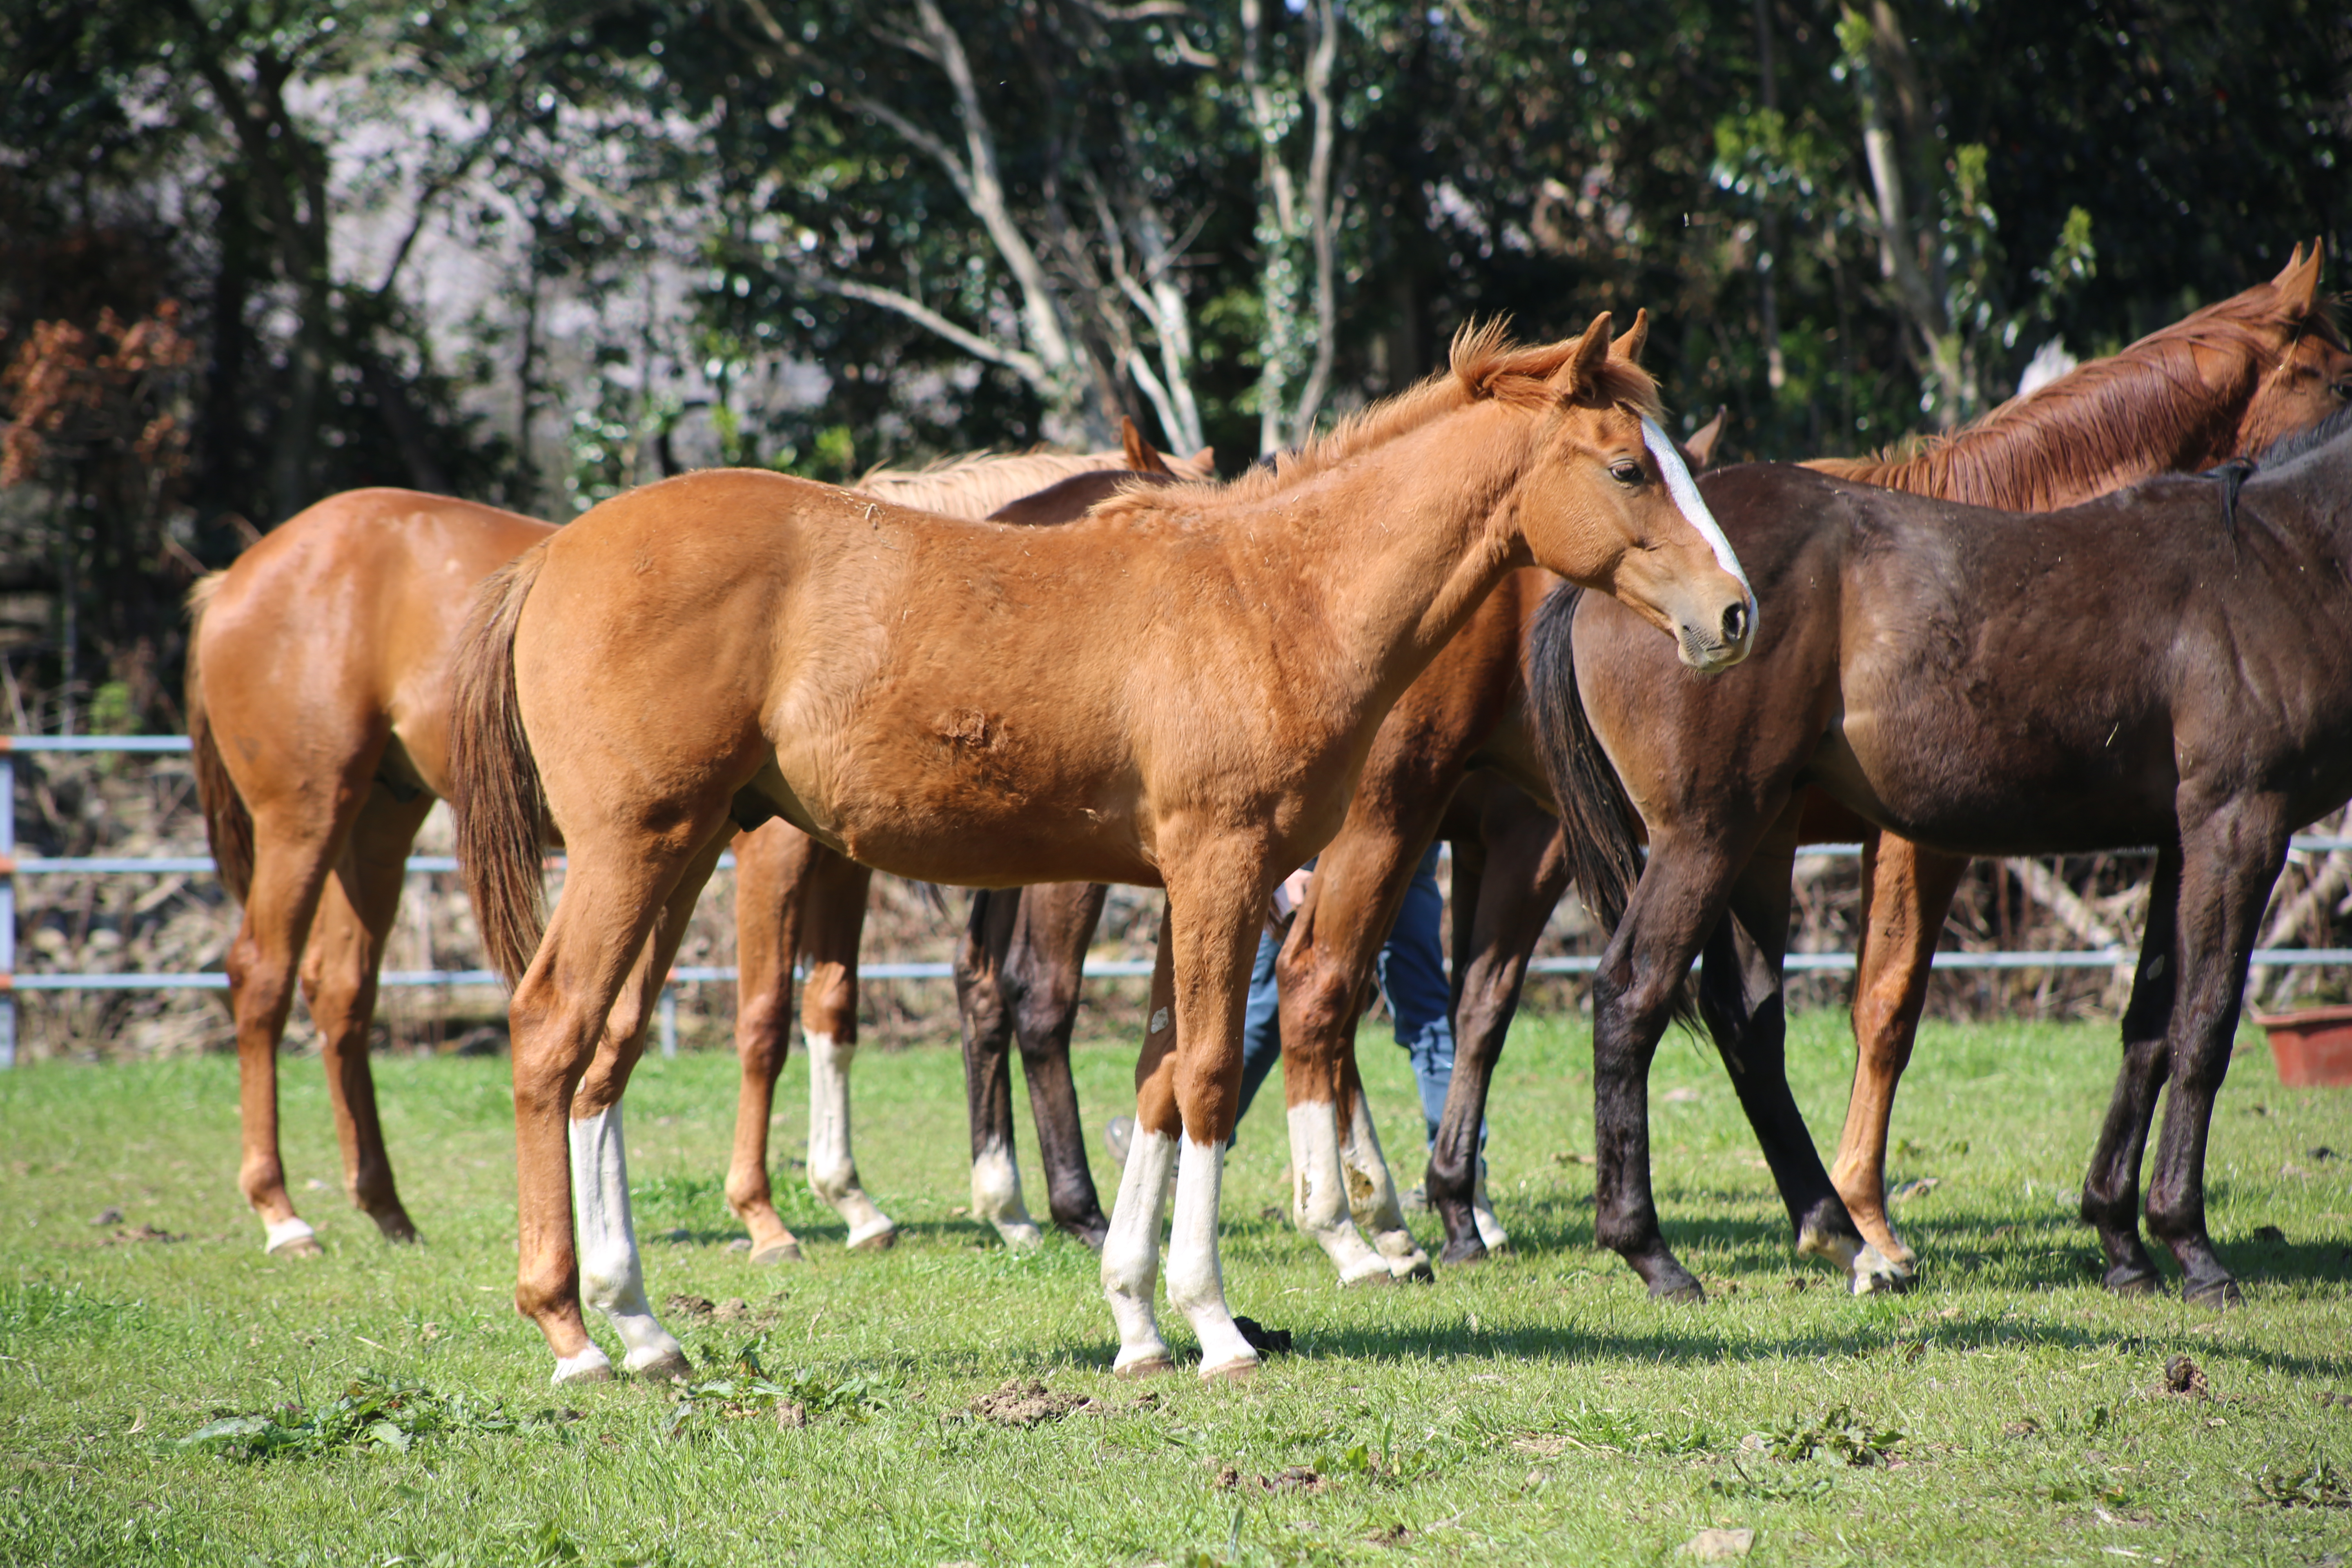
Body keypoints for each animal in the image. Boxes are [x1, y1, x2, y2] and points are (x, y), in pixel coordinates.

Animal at [449, 312, 1759, 1382]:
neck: (1274, 596)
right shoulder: (1225, 871)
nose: (1736, 614)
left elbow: (1160, 1083)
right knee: (552, 1031)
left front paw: (1135, 1319)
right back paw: (571, 1330)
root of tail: (554, 555)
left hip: (676, 859)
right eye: (1629, 467)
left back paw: (643, 1326)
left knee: (610, 1052)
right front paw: (1219, 1326)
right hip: (632, 853)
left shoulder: (1191, 885)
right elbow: (1215, 1079)